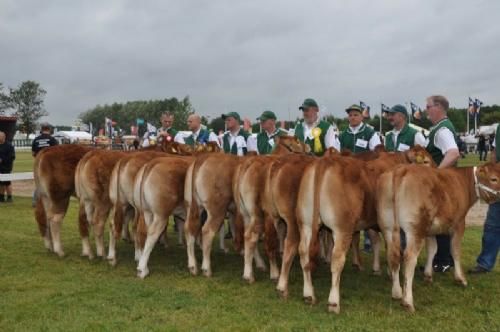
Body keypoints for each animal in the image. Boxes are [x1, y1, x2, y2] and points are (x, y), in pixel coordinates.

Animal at [376, 165, 478, 312]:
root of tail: (401, 169)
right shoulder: (459, 223)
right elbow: (455, 250)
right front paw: (461, 279)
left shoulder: (430, 230)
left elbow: (432, 249)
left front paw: (428, 275)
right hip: (415, 228)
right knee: (409, 258)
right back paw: (408, 302)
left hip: (388, 224)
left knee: (393, 255)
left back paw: (397, 293)